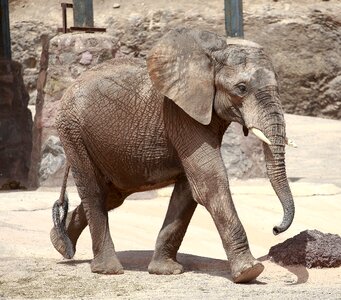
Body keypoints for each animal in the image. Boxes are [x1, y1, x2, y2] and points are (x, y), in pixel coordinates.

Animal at [50, 26, 294, 284]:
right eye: (241, 88)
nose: (275, 229)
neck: (214, 55)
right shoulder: (180, 114)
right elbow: (210, 181)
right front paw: (249, 272)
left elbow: (190, 189)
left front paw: (165, 271)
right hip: (72, 131)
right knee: (95, 192)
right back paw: (107, 269)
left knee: (113, 195)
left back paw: (59, 243)